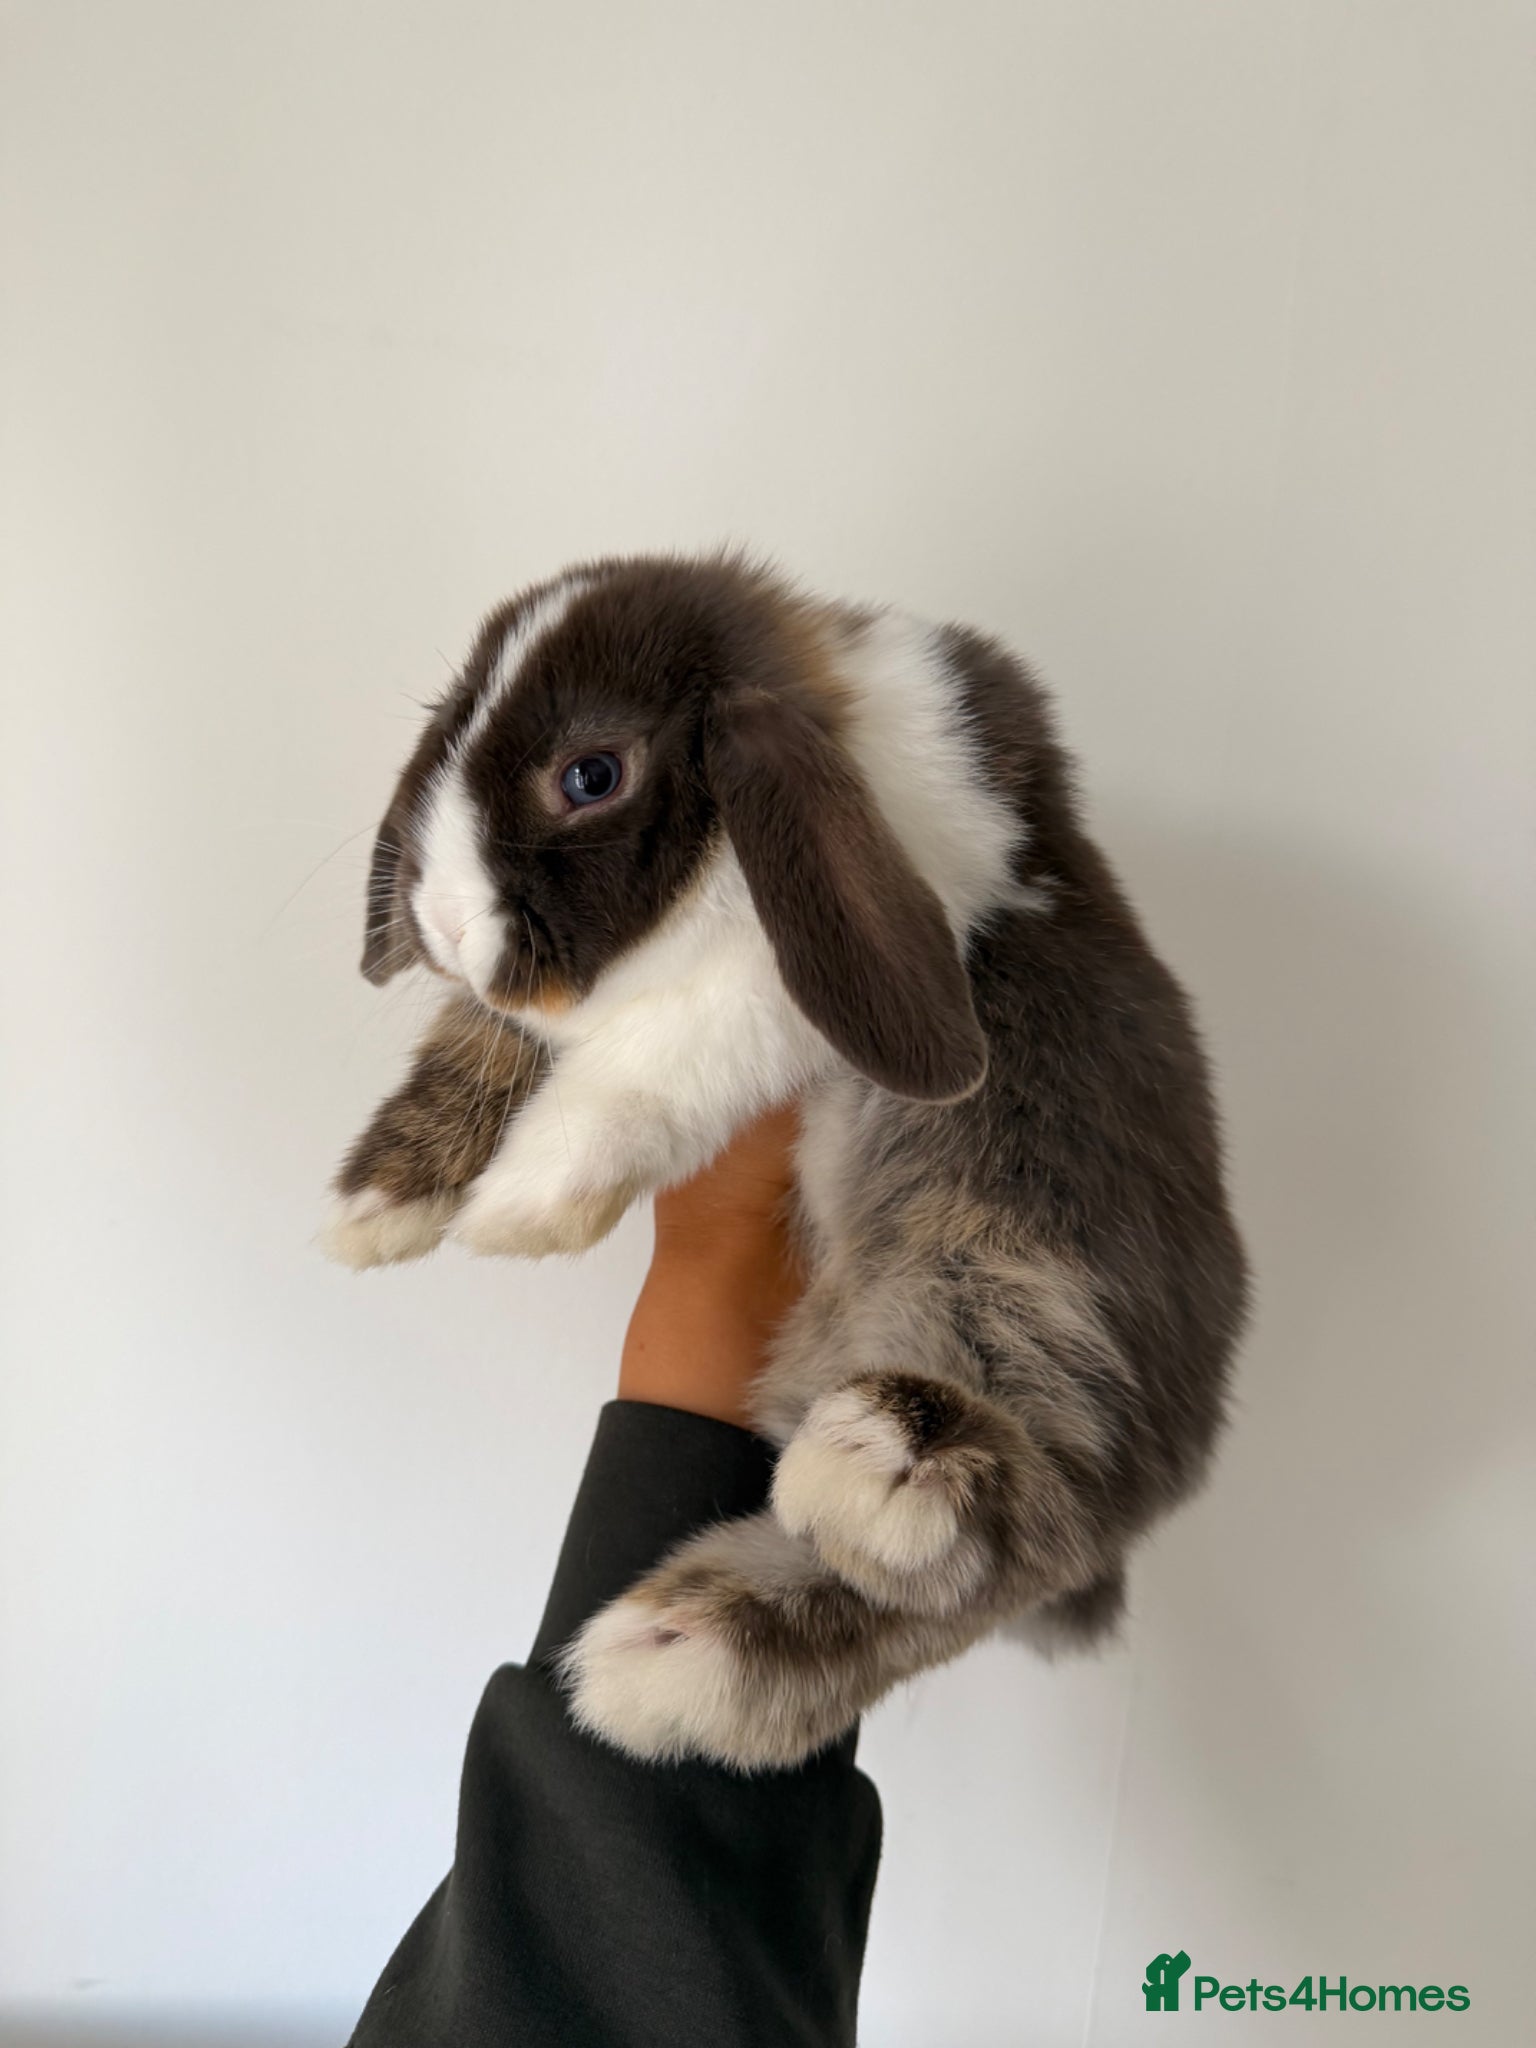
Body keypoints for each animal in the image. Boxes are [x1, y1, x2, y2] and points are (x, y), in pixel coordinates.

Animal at [323, 551, 1250, 1771]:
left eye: (590, 774)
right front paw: (376, 1203)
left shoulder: (792, 975)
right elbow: (485, 1041)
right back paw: (673, 1649)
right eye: (451, 731)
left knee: (1013, 1535)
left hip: (1028, 1297)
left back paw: (856, 1490)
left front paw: (527, 1198)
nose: (435, 924)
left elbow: (662, 1049)